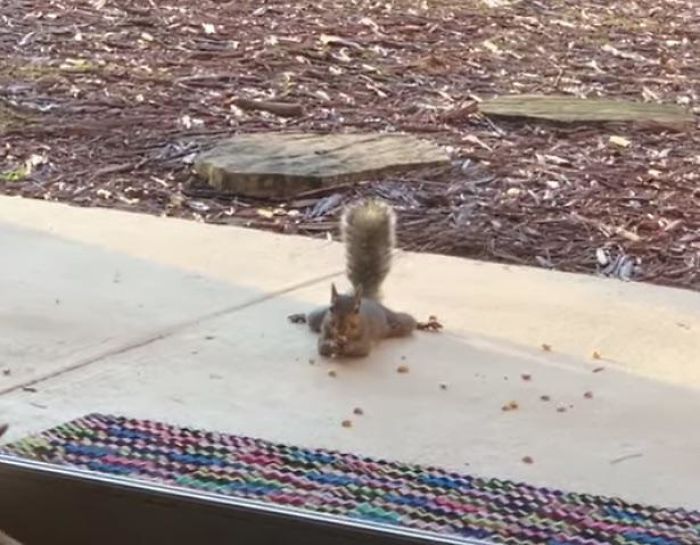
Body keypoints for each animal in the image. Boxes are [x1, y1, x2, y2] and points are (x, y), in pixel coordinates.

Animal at [290, 198, 417, 358]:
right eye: (331, 308)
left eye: (357, 310)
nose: (341, 328)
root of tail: (369, 299)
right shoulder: (324, 330)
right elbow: (322, 347)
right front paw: (332, 344)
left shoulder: (365, 338)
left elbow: (361, 348)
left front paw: (347, 346)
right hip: (316, 317)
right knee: (311, 317)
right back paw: (300, 316)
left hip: (397, 320)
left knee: (408, 322)